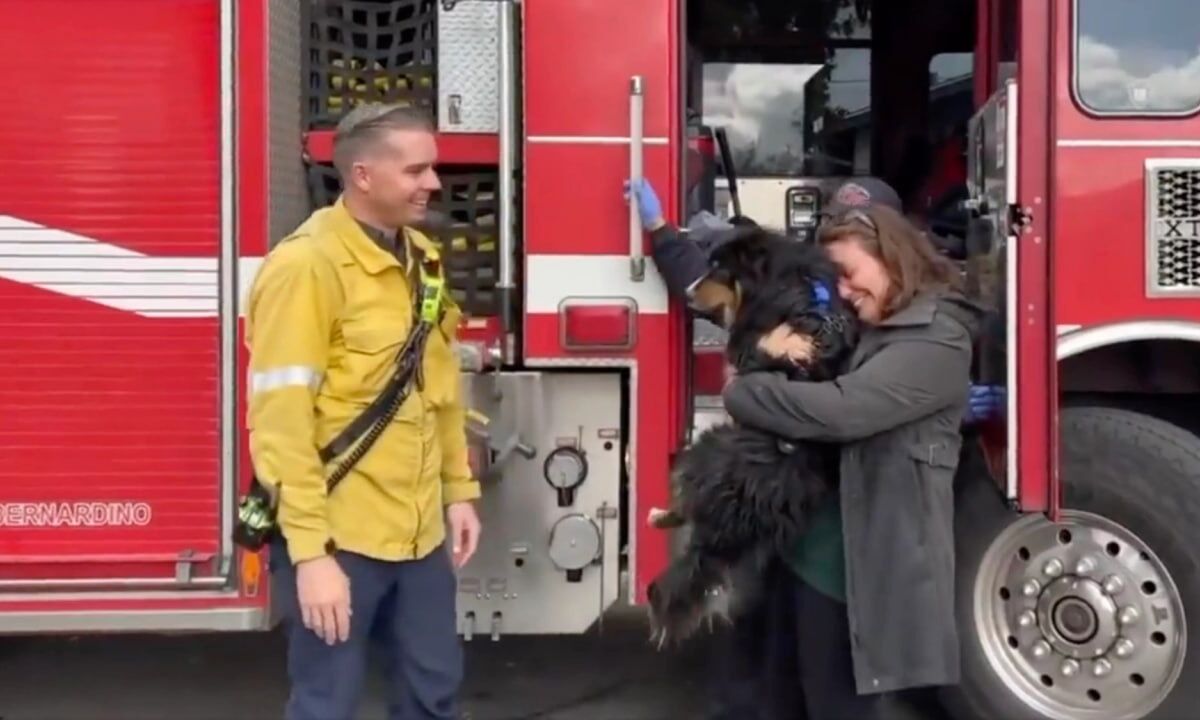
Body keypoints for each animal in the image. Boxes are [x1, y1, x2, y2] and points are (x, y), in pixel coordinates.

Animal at [643, 226, 859, 648]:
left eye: (719, 268)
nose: (689, 293)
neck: (786, 280)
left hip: (708, 443)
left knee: (685, 505)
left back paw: (659, 514)